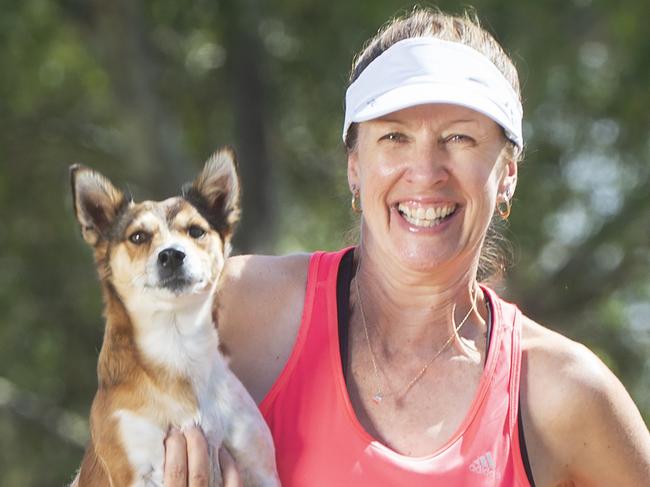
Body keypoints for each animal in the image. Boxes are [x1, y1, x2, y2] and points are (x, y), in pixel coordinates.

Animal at [70, 150, 278, 487]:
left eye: (195, 231)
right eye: (138, 236)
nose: (171, 255)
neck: (177, 342)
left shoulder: (258, 465)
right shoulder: (135, 468)